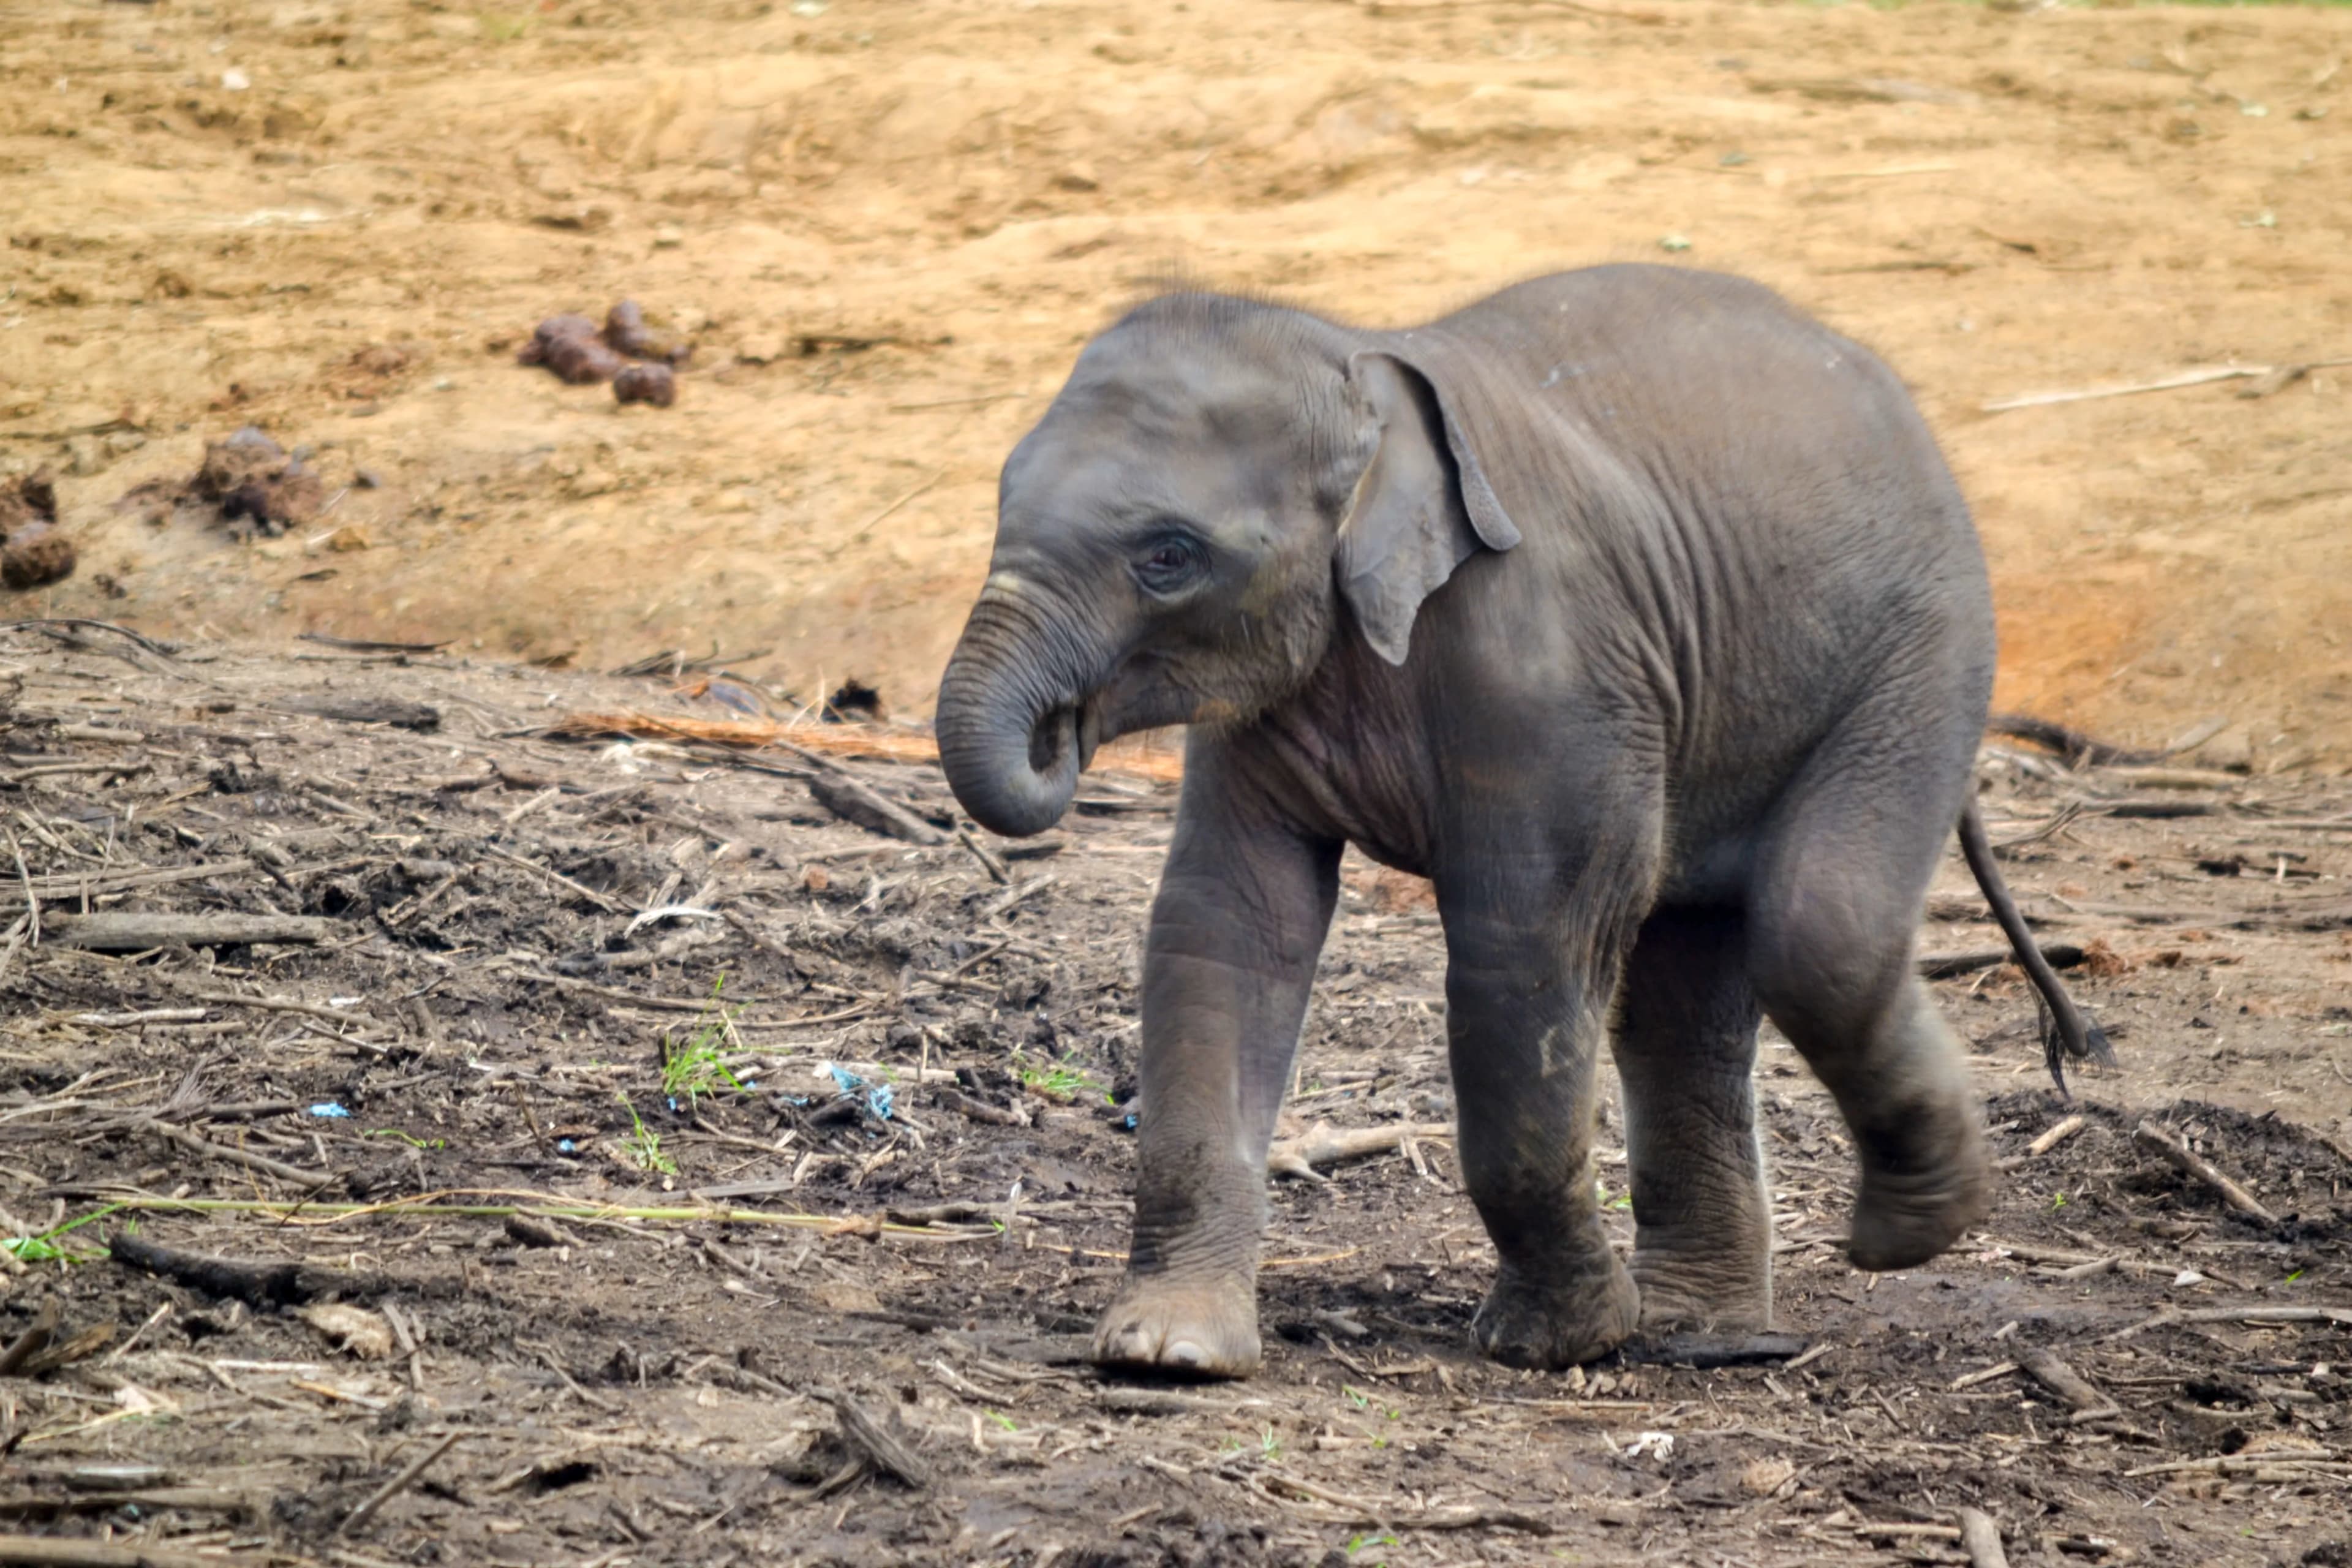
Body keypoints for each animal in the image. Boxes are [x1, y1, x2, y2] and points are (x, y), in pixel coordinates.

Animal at [932, 265, 2111, 1378]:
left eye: (1168, 557)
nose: (1063, 731)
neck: (1368, 368)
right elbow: (1226, 930)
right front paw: (1168, 1353)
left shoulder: (1553, 672)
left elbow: (1524, 954)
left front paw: (1556, 1343)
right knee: (1685, 991)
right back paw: (1703, 1328)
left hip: (1924, 651)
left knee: (1820, 926)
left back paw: (1904, 1233)